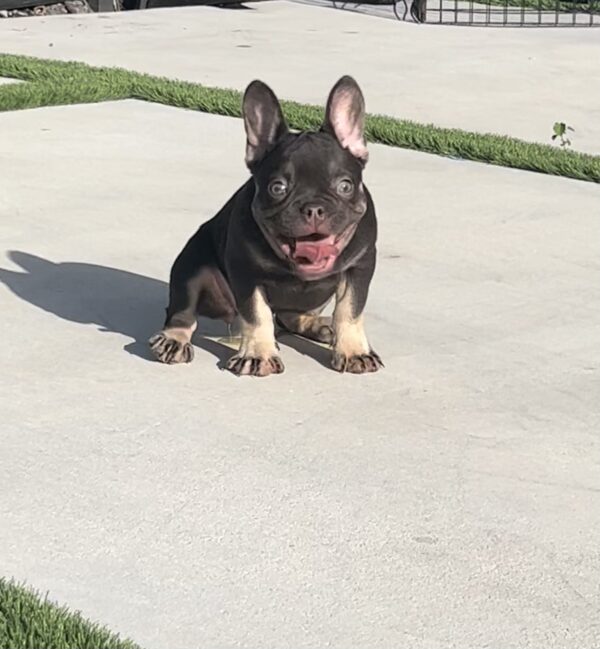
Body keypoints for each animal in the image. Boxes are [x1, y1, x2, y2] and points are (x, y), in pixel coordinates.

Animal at [151, 76, 384, 378]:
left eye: (345, 186)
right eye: (278, 188)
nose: (313, 208)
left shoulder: (359, 267)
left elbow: (350, 310)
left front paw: (354, 351)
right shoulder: (246, 272)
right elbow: (256, 314)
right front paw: (258, 354)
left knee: (289, 316)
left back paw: (317, 325)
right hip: (191, 263)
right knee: (182, 310)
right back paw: (173, 340)